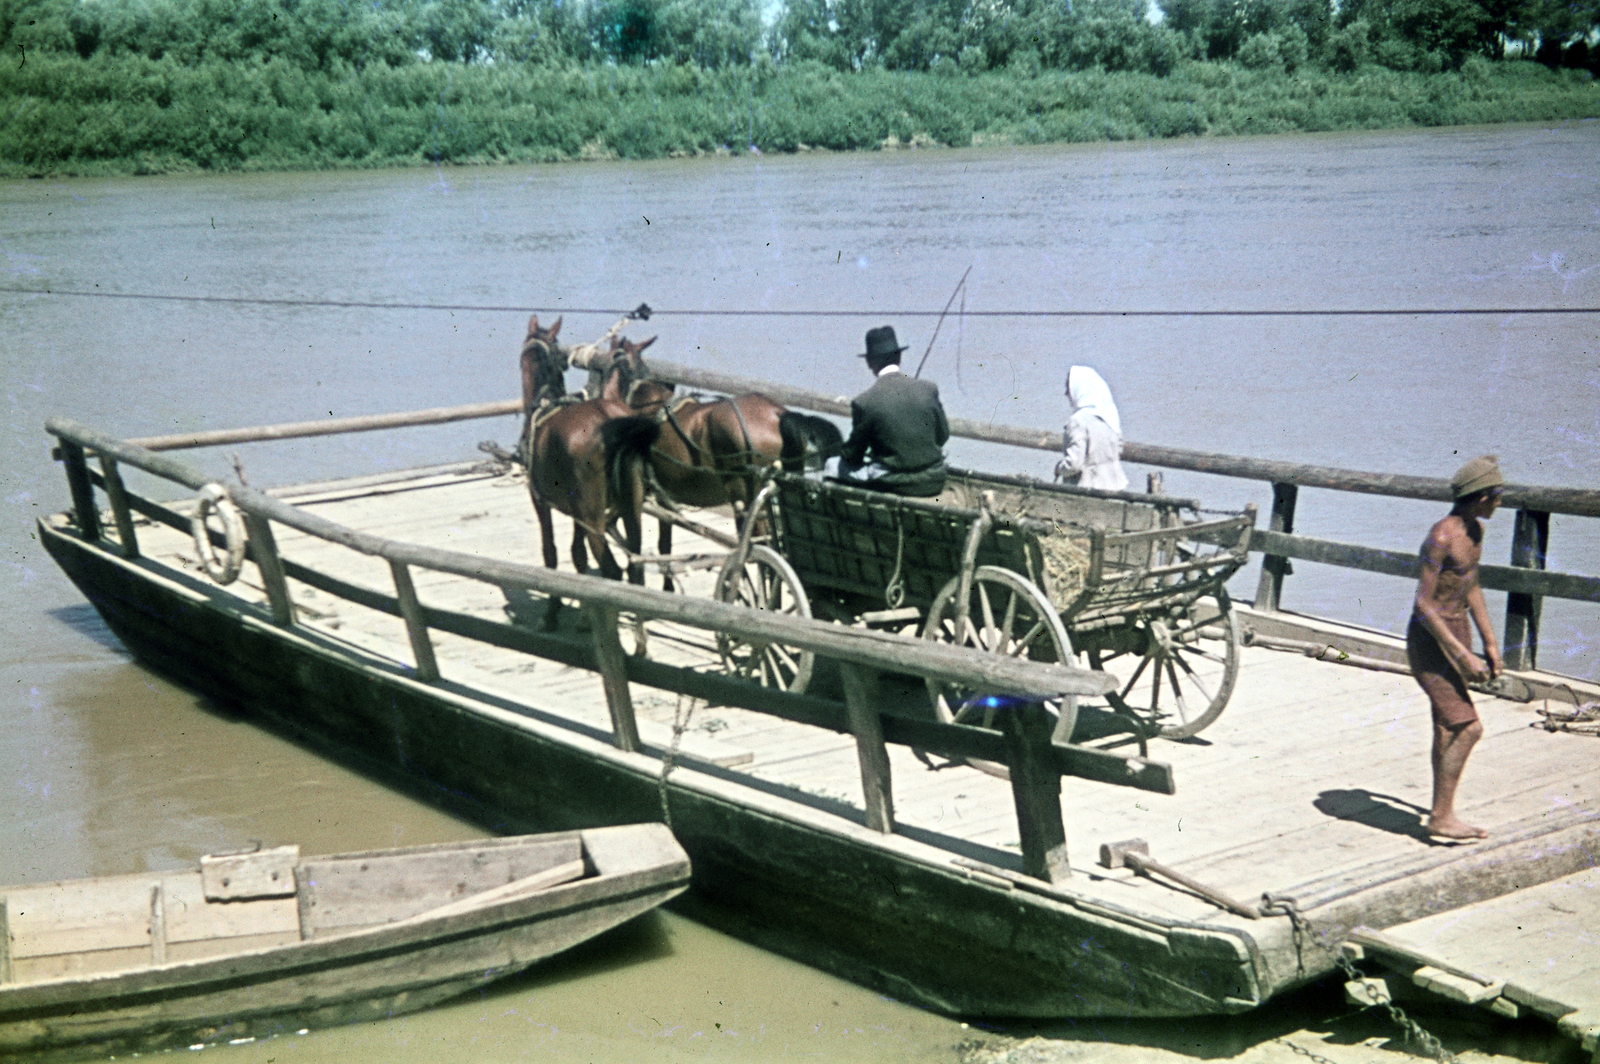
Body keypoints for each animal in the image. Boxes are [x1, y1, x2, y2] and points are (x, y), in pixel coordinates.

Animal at [524, 334, 675, 630]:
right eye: (641, 369)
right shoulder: (582, 511)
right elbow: (578, 554)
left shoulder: (541, 499)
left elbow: (552, 552)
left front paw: (553, 612)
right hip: (631, 507)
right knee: (639, 560)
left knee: (615, 569)